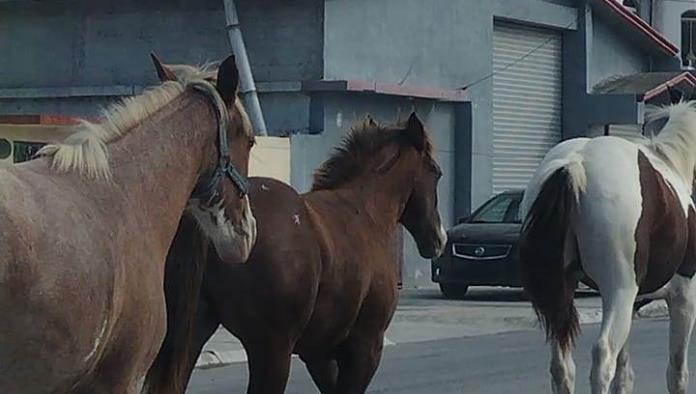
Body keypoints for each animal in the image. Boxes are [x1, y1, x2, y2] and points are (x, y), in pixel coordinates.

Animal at [144, 112, 448, 392]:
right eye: (436, 171)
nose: (439, 238)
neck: (366, 212)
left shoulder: (318, 353)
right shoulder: (366, 345)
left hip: (193, 336)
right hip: (272, 350)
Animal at [520, 102, 696, 394]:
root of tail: (574, 165)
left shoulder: (634, 304)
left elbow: (624, 376)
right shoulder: (684, 296)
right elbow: (677, 373)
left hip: (566, 293)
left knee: (562, 367)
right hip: (619, 291)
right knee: (603, 357)